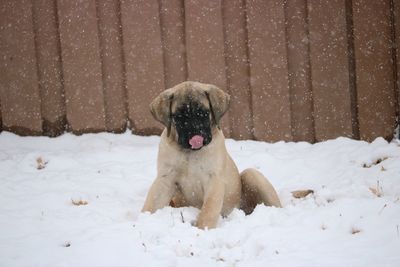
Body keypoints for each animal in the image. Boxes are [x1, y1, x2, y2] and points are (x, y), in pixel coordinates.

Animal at [141, 80, 282, 229]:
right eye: (178, 116)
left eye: (203, 113)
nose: (195, 133)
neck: (190, 153)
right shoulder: (165, 179)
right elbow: (151, 203)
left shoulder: (214, 179)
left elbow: (209, 209)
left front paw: (202, 229)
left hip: (251, 175)